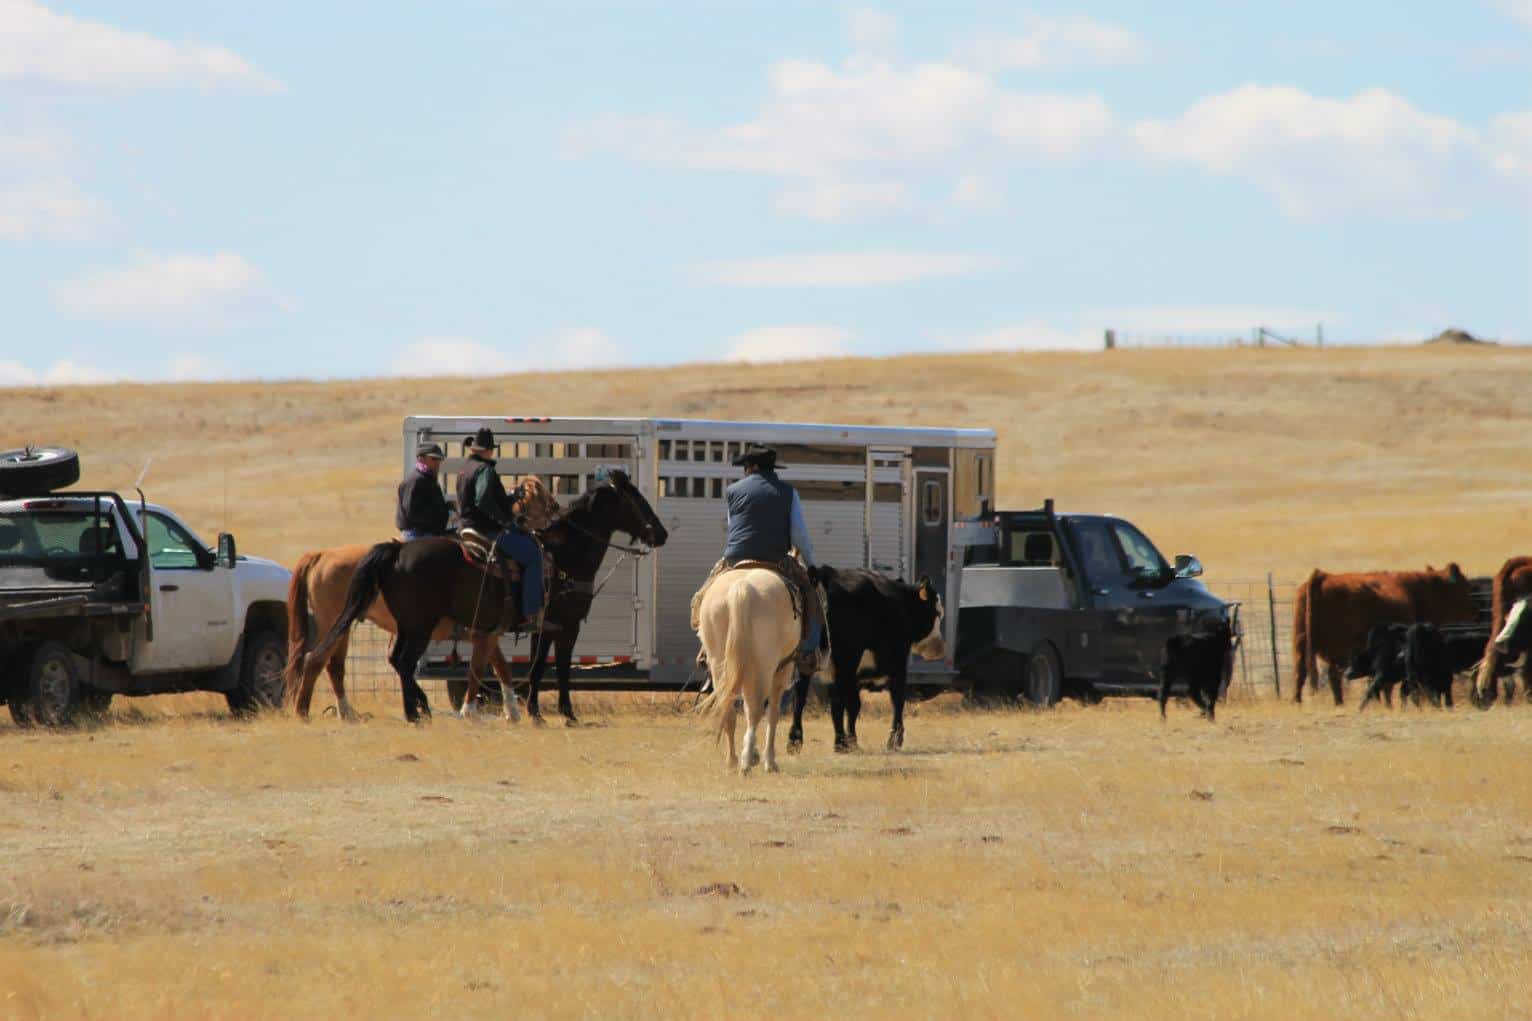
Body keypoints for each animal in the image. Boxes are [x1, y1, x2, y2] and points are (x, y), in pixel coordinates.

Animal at [283, 478, 559, 721]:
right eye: (540, 495)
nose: (555, 510)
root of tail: (321, 555)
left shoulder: (483, 633)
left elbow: (499, 667)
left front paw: (511, 712)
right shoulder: (483, 632)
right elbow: (482, 668)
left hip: (346, 626)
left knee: (334, 665)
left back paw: (346, 712)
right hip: (346, 625)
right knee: (322, 661)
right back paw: (308, 711)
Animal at [696, 567, 801, 774]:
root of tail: (742, 587)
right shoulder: (782, 670)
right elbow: (773, 713)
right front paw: (768, 761)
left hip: (720, 663)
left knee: (729, 708)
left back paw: (733, 760)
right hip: (765, 666)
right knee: (755, 710)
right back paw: (746, 763)